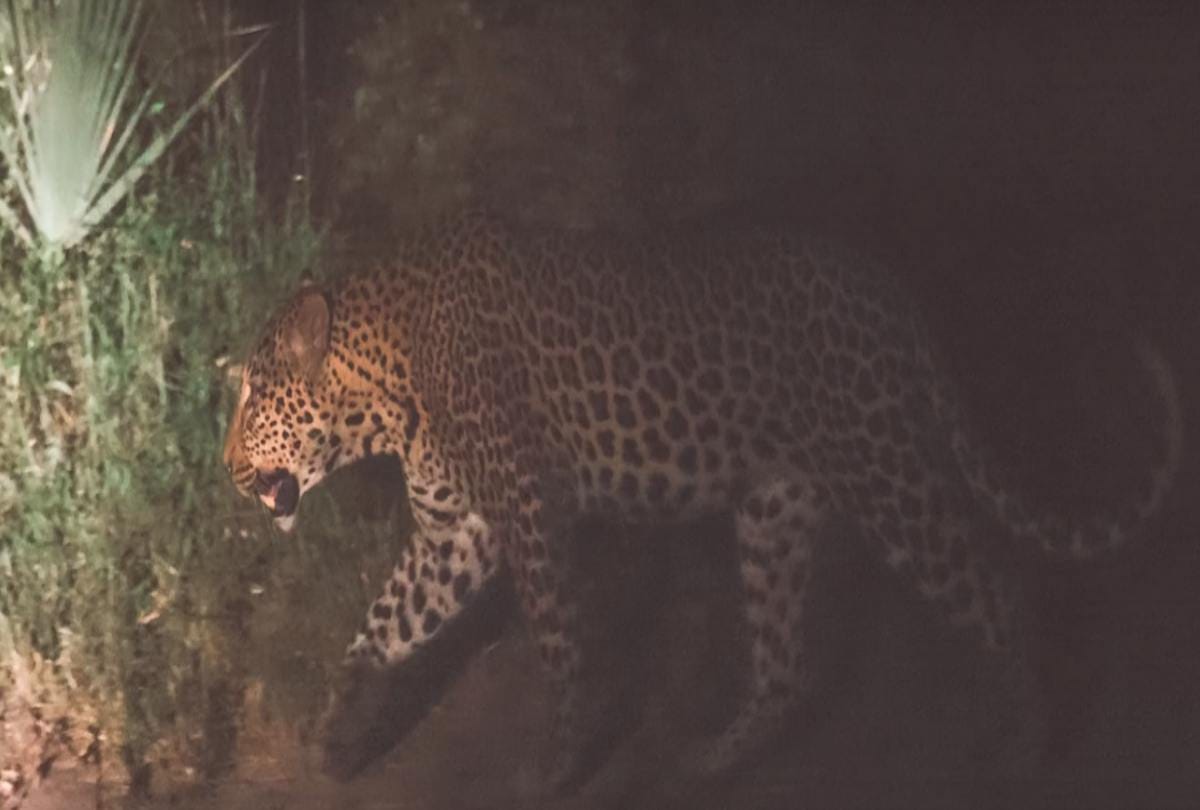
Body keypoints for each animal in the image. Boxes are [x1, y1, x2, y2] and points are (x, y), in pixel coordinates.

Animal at [222, 212, 1182, 792]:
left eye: (253, 398)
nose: (226, 468)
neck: (384, 390)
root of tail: (892, 294)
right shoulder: (459, 534)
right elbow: (382, 626)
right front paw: (338, 733)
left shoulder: (529, 517)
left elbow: (560, 654)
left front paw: (555, 769)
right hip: (776, 508)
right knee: (787, 665)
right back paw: (710, 763)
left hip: (886, 473)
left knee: (993, 591)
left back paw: (1025, 750)